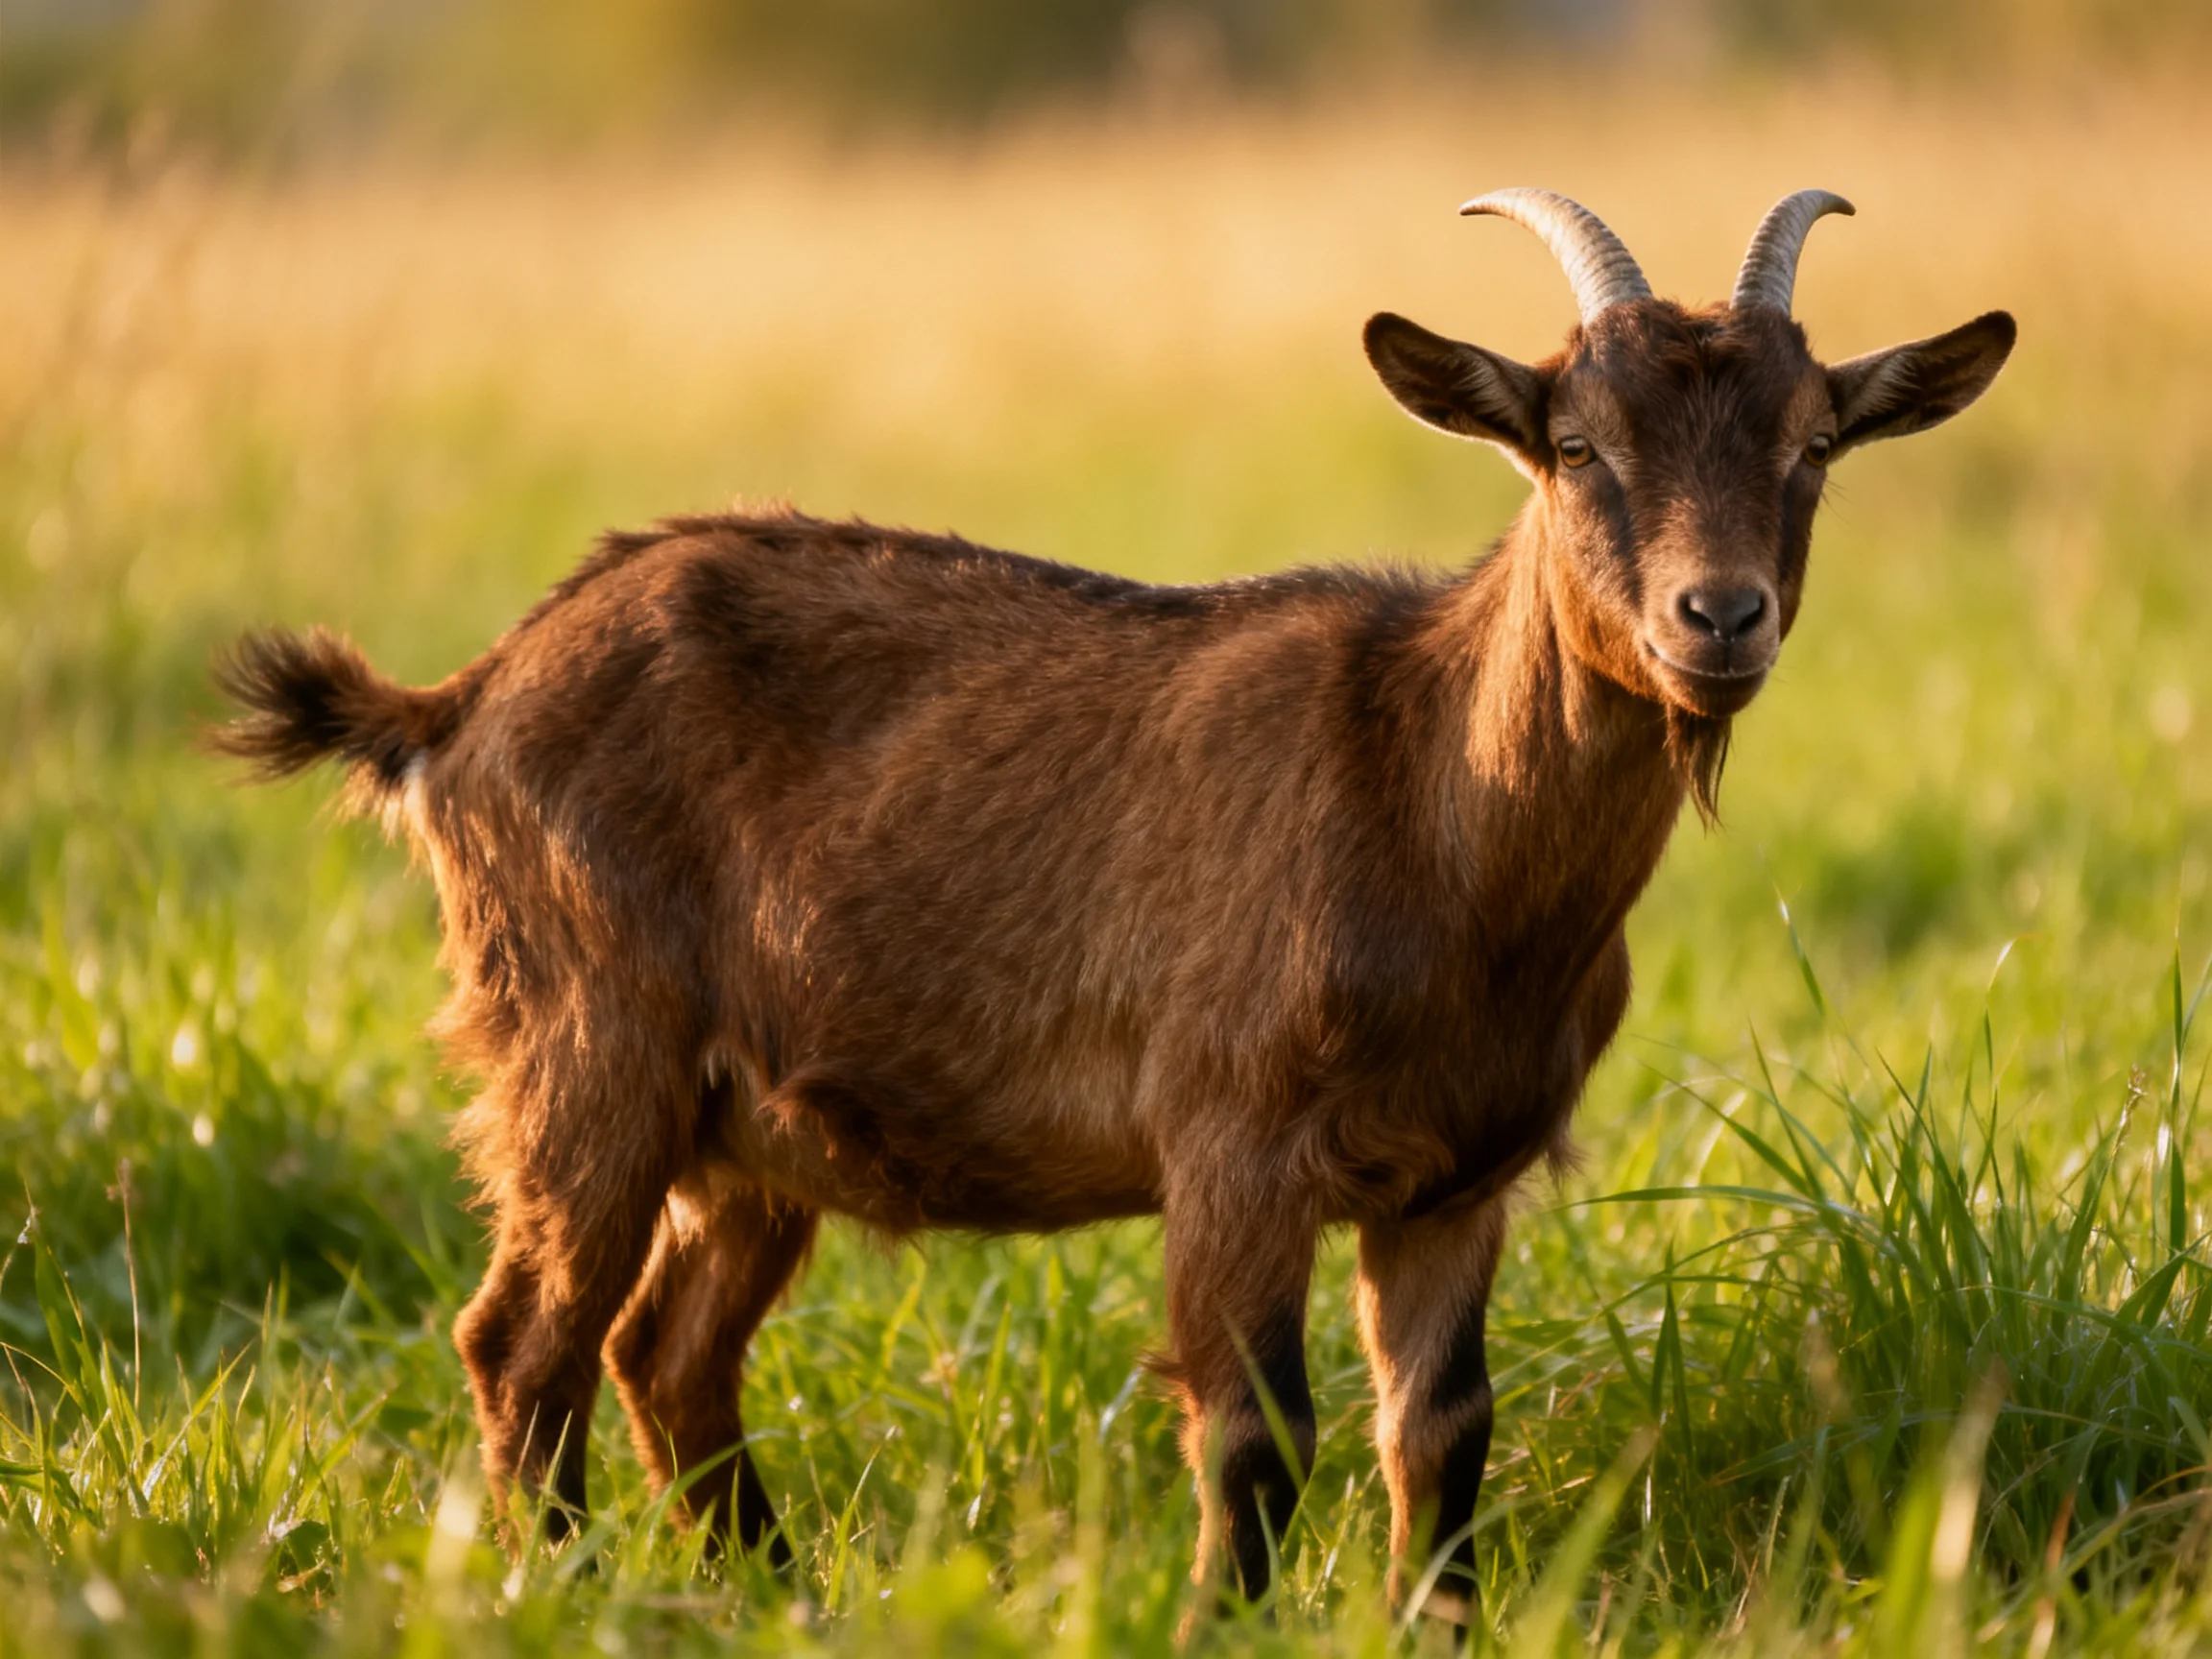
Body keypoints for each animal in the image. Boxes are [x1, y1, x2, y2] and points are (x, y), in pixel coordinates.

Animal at [213, 189, 2013, 1620]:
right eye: (1575, 445)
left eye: (1810, 447)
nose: (1718, 618)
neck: (1429, 800)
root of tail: (460, 700)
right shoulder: (1230, 1138)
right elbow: (1254, 1431)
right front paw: (1223, 1619)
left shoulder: (1455, 1174)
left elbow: (1440, 1431)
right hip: (587, 1048)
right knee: (524, 1340)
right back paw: (568, 1589)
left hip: (750, 1131)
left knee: (666, 1350)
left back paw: (771, 1596)